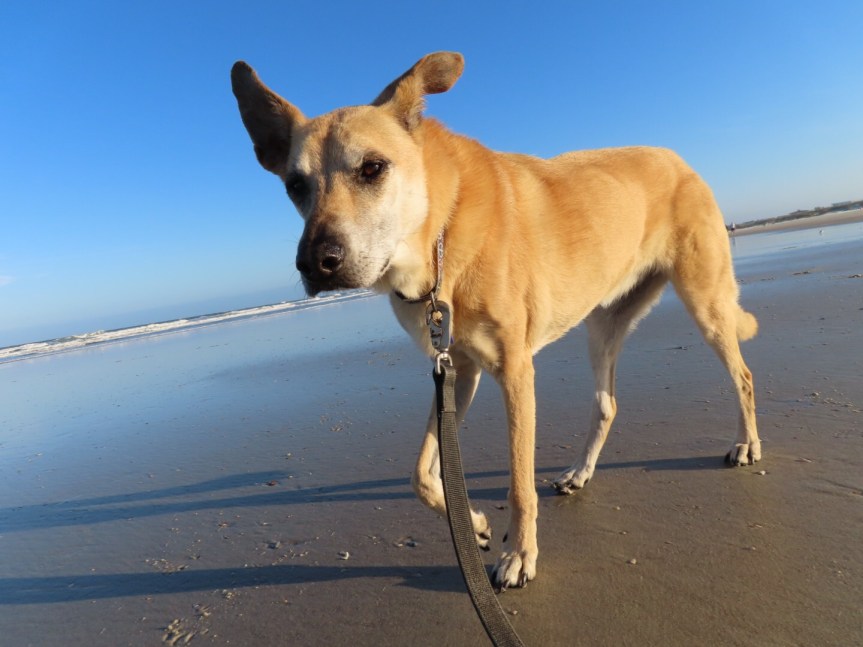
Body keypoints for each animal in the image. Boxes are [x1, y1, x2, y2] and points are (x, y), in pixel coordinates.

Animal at [231, 52, 760, 590]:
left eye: (372, 168)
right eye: (295, 186)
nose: (315, 264)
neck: (439, 237)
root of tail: (677, 158)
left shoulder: (514, 372)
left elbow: (519, 481)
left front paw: (520, 554)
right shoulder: (458, 371)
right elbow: (422, 474)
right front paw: (475, 523)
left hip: (705, 304)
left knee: (743, 374)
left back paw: (746, 444)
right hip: (602, 326)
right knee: (606, 404)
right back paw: (580, 472)